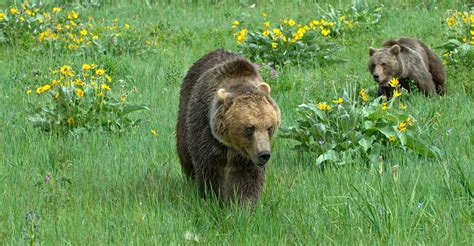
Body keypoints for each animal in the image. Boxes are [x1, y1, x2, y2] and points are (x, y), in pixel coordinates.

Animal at [178, 49, 282, 205]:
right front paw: (213, 198)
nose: (264, 154)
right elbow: (210, 168)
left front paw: (243, 204)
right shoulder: (206, 130)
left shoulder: (247, 152)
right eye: (249, 128)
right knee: (185, 151)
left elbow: (246, 176)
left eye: (269, 127)